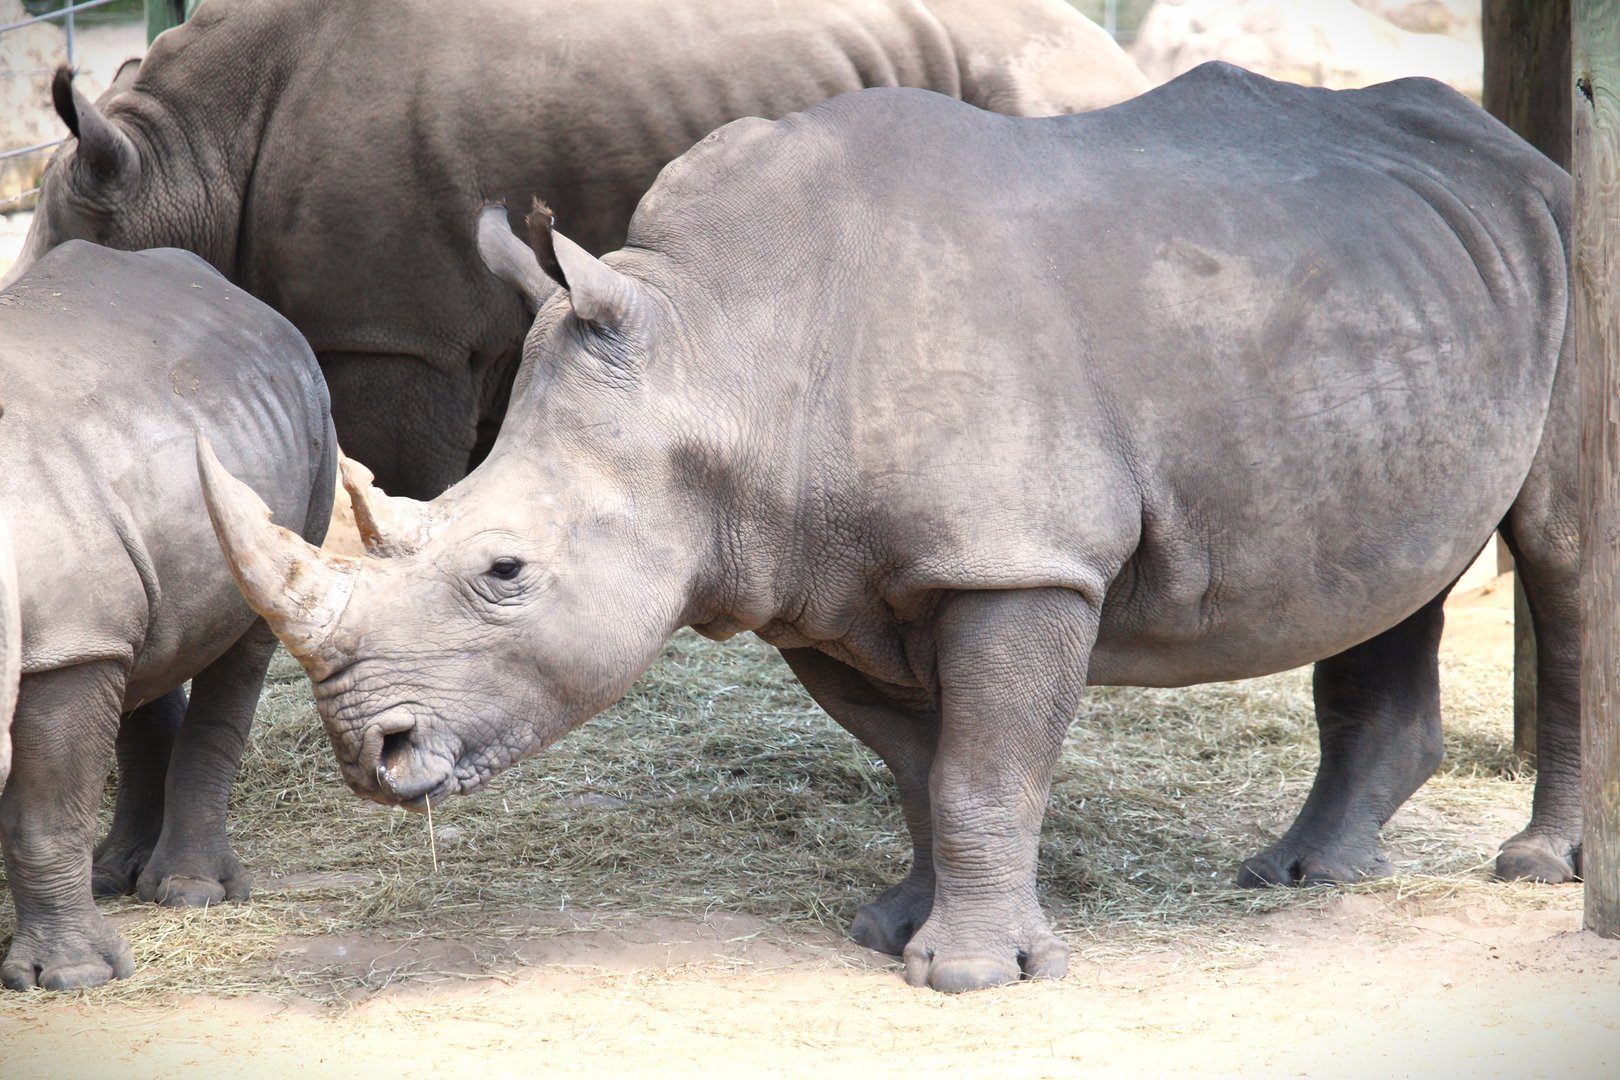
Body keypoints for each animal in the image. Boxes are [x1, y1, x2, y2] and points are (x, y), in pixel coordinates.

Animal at [0, 241, 335, 991]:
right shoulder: (72, 636)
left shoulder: (65, 644)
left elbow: (43, 815)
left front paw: (72, 977)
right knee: (147, 653)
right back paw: (112, 878)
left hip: (313, 427)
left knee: (245, 646)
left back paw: (190, 891)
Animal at [200, 64, 1579, 993]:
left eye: (504, 571)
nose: (367, 755)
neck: (723, 347)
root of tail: (1525, 152)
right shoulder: (815, 580)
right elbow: (921, 768)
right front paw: (892, 930)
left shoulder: (1017, 564)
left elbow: (984, 764)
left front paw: (971, 978)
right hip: (1412, 283)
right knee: (1394, 561)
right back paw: (1305, 874)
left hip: (1572, 248)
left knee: (1563, 554)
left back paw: (1536, 866)